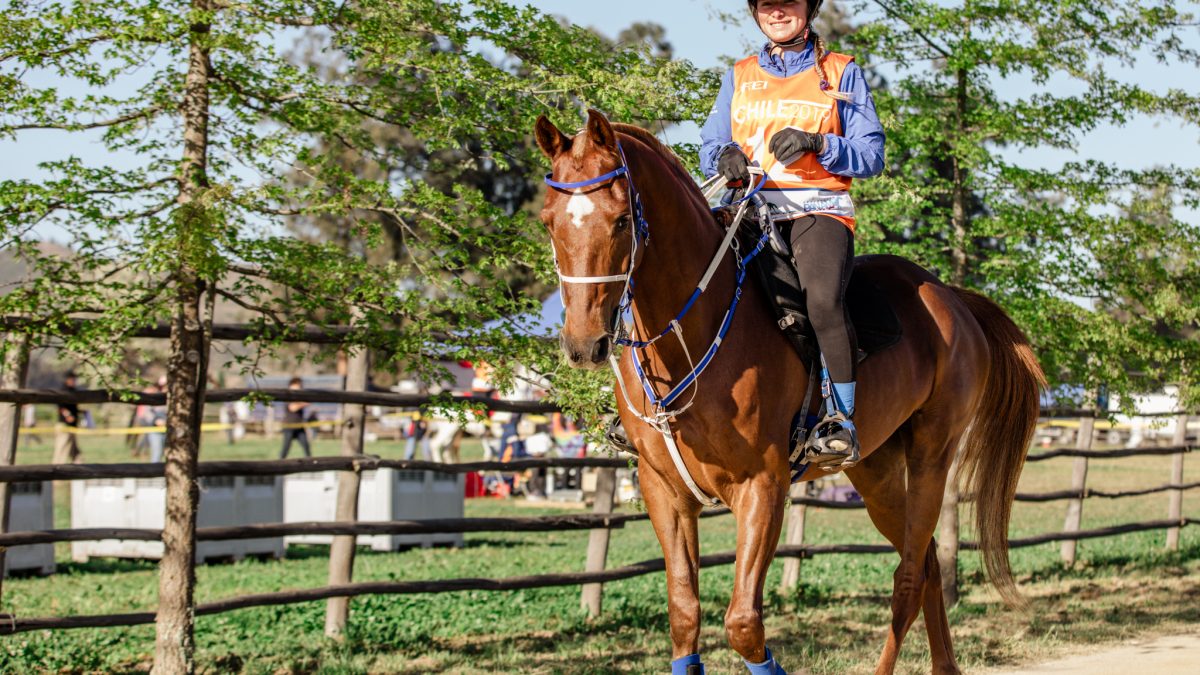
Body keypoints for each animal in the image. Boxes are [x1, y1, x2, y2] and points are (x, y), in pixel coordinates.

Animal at [532, 111, 1041, 672]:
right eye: (548, 221)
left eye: (622, 219)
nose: (584, 344)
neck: (693, 331)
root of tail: (952, 297)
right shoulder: (664, 492)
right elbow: (684, 614)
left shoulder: (762, 488)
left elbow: (743, 624)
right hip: (876, 472)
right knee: (926, 561)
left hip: (932, 455)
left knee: (909, 579)